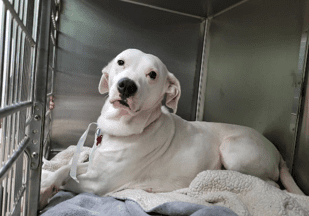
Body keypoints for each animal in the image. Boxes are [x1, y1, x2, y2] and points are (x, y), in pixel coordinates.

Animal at [39, 49, 304, 209]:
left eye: (153, 74)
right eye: (121, 62)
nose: (126, 85)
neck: (123, 129)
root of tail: (278, 153)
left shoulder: (99, 183)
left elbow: (67, 178)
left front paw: (45, 189)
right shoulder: (94, 166)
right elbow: (64, 168)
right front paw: (45, 183)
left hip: (233, 151)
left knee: (270, 185)